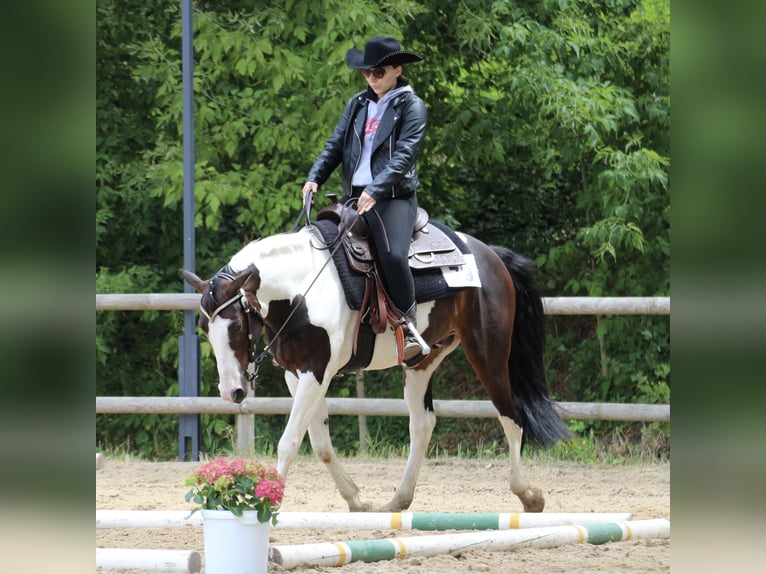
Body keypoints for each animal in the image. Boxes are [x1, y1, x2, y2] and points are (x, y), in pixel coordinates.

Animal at [183, 223, 572, 516]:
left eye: (236, 325)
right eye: (203, 328)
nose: (231, 391)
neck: (301, 291)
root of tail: (488, 253)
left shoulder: (316, 372)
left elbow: (289, 441)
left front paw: (267, 501)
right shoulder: (297, 375)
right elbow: (320, 442)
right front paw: (356, 499)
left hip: (487, 353)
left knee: (511, 416)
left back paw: (529, 495)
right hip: (423, 361)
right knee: (423, 423)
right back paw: (398, 500)